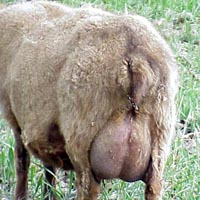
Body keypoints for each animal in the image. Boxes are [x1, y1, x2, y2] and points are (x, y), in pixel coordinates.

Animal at [0, 0, 178, 199]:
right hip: (160, 140)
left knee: (88, 186)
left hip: (82, 138)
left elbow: (22, 162)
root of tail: (136, 60)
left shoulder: (15, 117)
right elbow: (47, 168)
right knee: (154, 185)